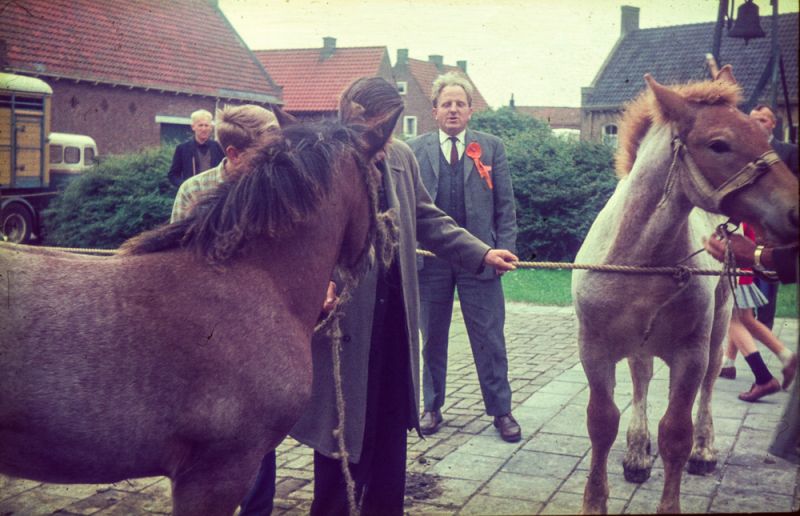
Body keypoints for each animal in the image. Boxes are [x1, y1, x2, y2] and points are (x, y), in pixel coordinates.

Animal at [572, 66, 798, 514]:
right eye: (719, 144)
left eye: (765, 135)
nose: (798, 211)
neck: (640, 262)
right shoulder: (594, 349)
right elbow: (601, 423)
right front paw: (596, 499)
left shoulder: (690, 354)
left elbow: (676, 432)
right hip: (640, 345)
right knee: (641, 379)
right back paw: (637, 455)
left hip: (718, 329)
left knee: (709, 387)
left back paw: (704, 451)